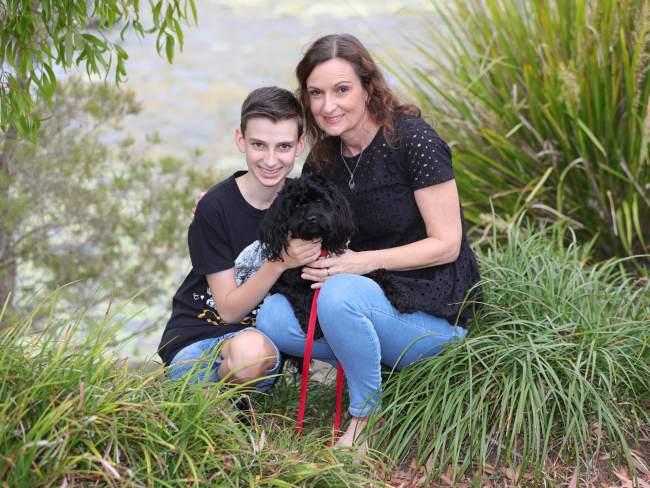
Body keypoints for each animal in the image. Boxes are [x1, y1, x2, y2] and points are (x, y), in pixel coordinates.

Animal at [258, 173, 354, 338]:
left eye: (319, 200)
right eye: (296, 205)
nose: (311, 218)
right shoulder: (283, 283)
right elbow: (301, 296)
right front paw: (314, 326)